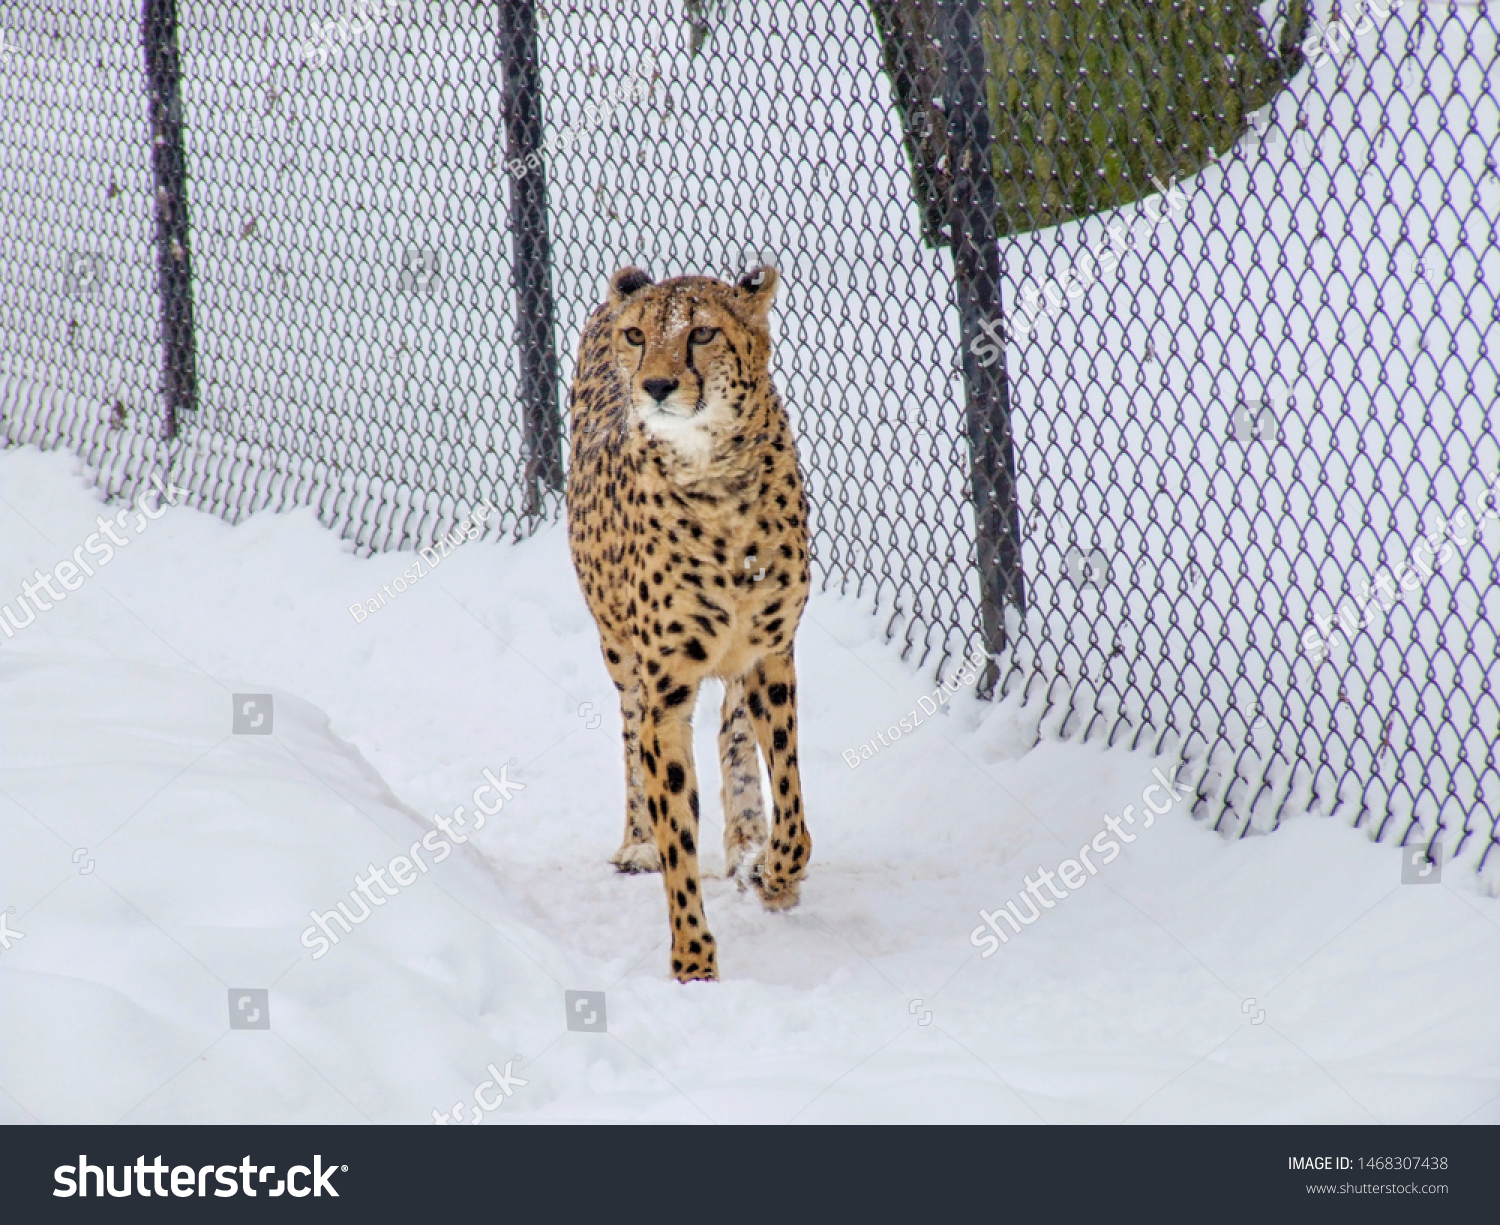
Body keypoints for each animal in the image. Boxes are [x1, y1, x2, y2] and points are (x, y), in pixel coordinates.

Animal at [567, 262, 816, 977]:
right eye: (637, 336)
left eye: (702, 332)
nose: (655, 385)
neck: (714, 476)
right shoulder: (666, 686)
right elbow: (676, 817)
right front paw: (692, 959)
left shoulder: (771, 654)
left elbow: (790, 796)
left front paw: (776, 874)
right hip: (620, 652)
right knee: (630, 732)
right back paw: (637, 843)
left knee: (733, 729)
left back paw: (747, 840)